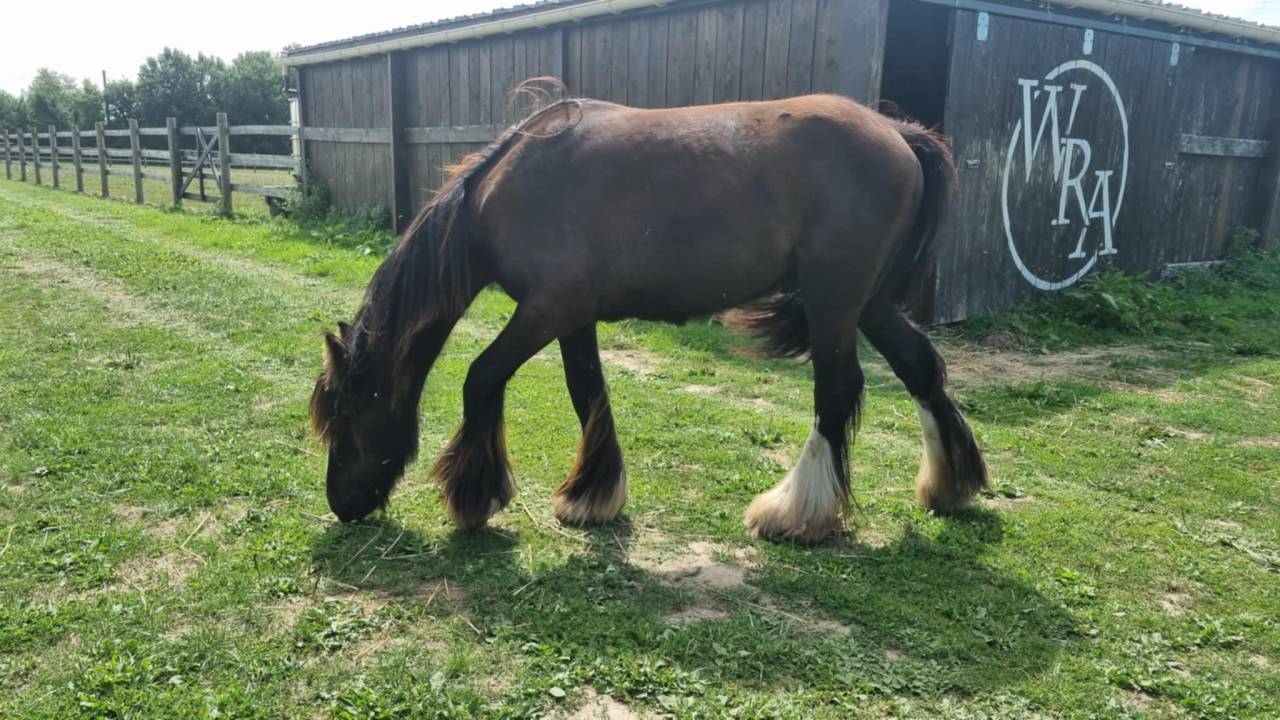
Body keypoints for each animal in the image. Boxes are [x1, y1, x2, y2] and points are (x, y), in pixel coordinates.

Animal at [309, 89, 989, 543]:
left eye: (346, 415)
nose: (342, 503)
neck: (515, 185)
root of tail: (898, 132)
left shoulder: (546, 309)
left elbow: (482, 377)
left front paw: (474, 494)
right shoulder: (572, 316)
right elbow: (587, 391)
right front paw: (592, 495)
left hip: (835, 300)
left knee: (838, 389)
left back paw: (795, 513)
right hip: (868, 302)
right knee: (920, 367)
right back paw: (950, 486)